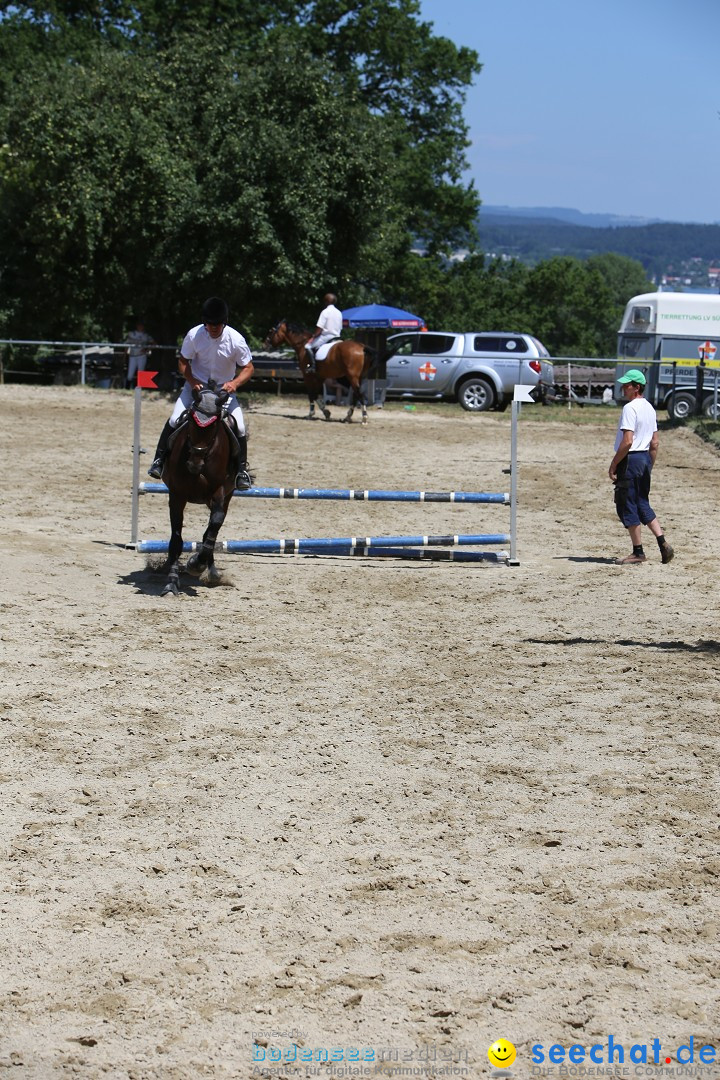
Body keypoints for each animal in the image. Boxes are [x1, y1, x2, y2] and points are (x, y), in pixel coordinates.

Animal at [158, 384, 237, 596]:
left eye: (214, 427)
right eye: (192, 423)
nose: (194, 465)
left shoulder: (218, 493)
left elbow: (214, 526)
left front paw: (197, 564)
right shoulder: (177, 496)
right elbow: (176, 540)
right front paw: (171, 581)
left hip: (225, 497)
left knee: (213, 528)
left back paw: (211, 572)